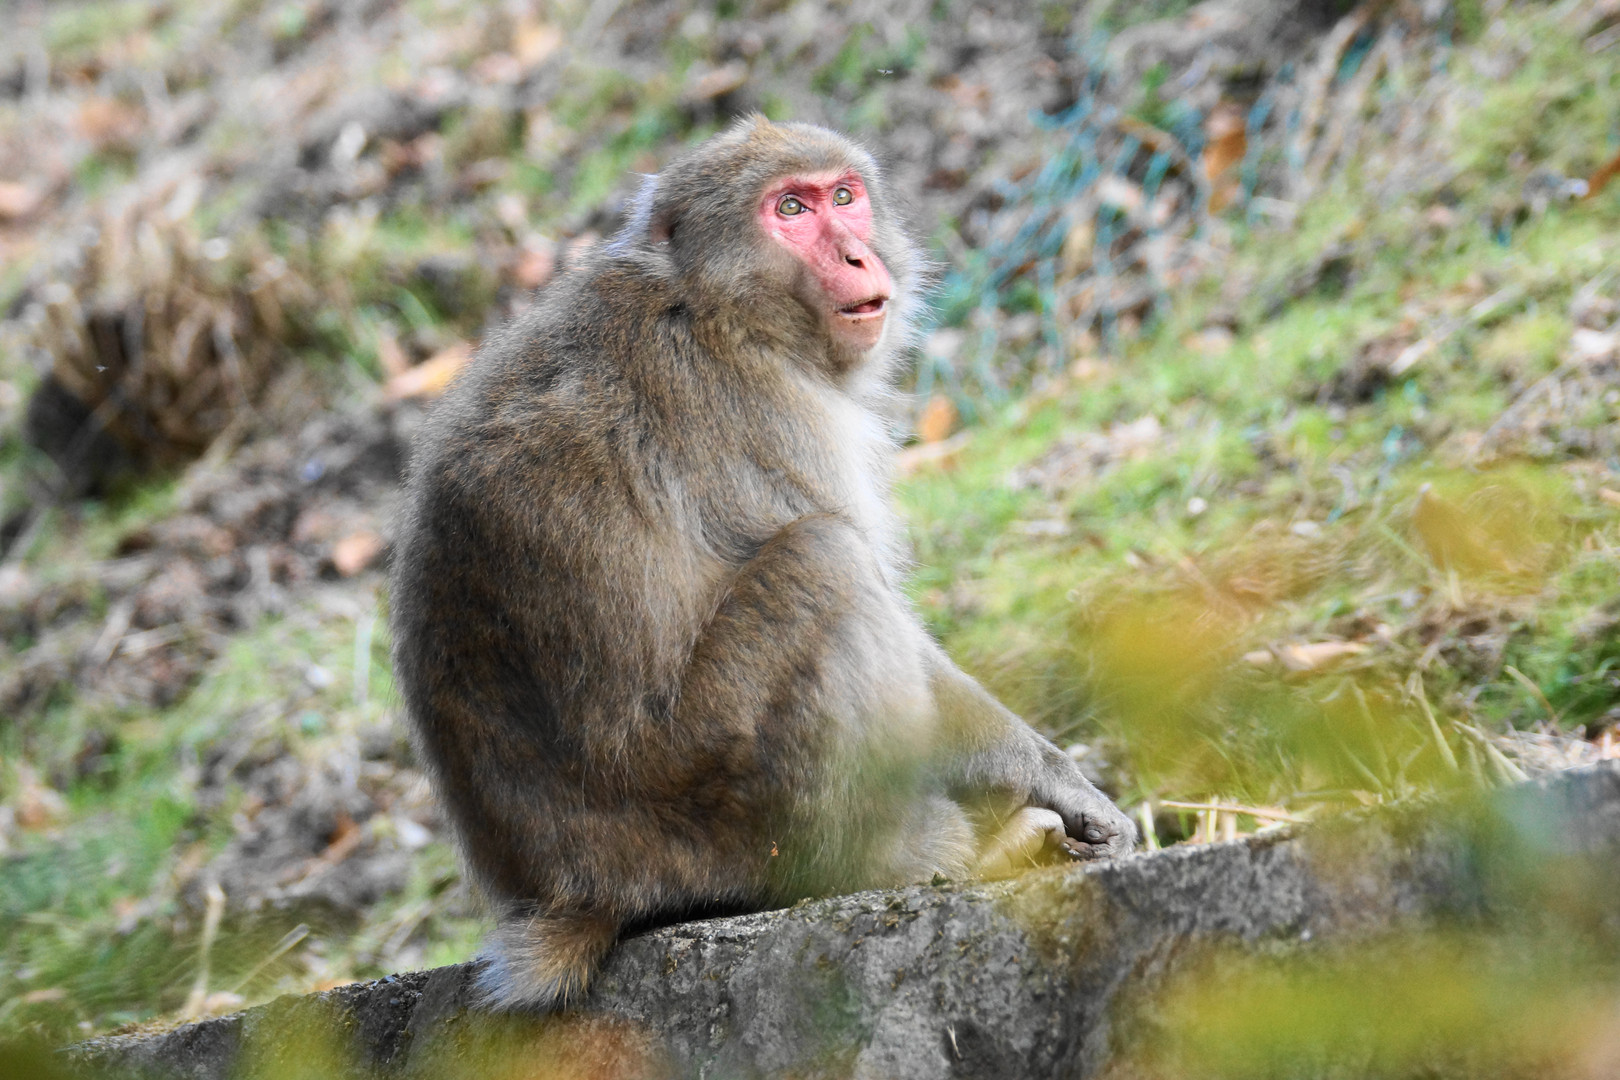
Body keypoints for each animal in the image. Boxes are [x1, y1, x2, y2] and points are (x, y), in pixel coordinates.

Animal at [388, 116, 1136, 1013]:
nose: (858, 254)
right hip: (720, 798)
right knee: (825, 562)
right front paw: (1054, 778)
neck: (714, 305)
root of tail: (584, 889)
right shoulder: (771, 410)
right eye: (790, 210)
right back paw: (915, 856)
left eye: (843, 195)